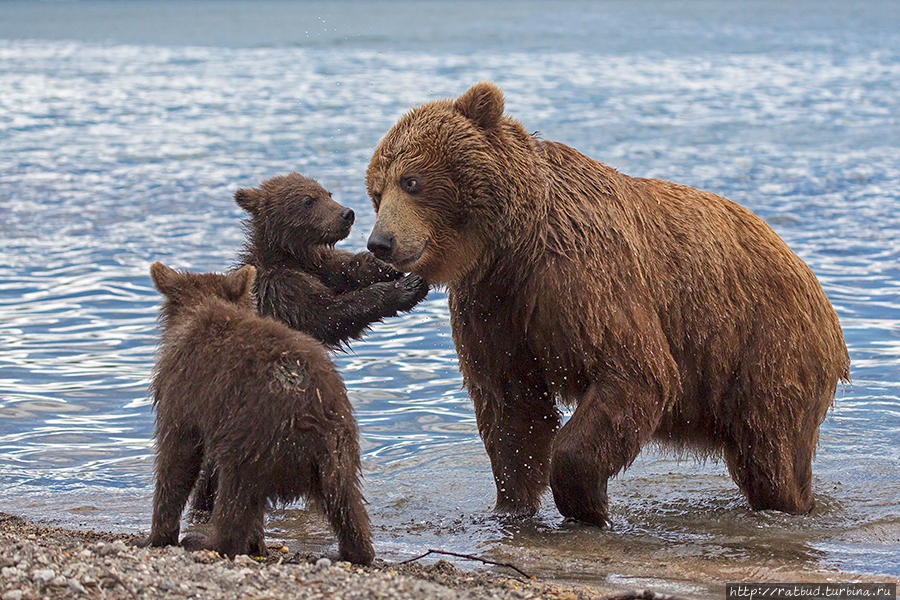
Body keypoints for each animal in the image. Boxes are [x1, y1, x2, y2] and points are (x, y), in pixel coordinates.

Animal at [362, 81, 848, 524]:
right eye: (375, 192)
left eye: (411, 180)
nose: (380, 243)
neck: (514, 243)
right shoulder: (494, 305)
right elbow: (512, 407)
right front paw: (512, 505)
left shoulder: (580, 276)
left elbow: (636, 372)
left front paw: (585, 502)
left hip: (766, 345)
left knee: (771, 452)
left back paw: (793, 504)